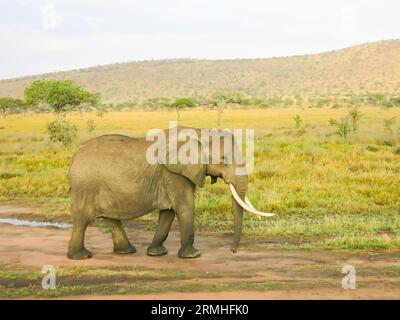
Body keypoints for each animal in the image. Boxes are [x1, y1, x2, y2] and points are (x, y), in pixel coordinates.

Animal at [67, 125, 272, 260]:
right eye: (224, 159)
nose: (232, 251)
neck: (200, 133)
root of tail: (74, 156)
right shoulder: (173, 173)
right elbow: (185, 206)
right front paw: (193, 255)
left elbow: (169, 211)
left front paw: (157, 253)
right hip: (86, 186)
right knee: (83, 219)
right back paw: (81, 256)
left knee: (111, 218)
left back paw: (126, 251)